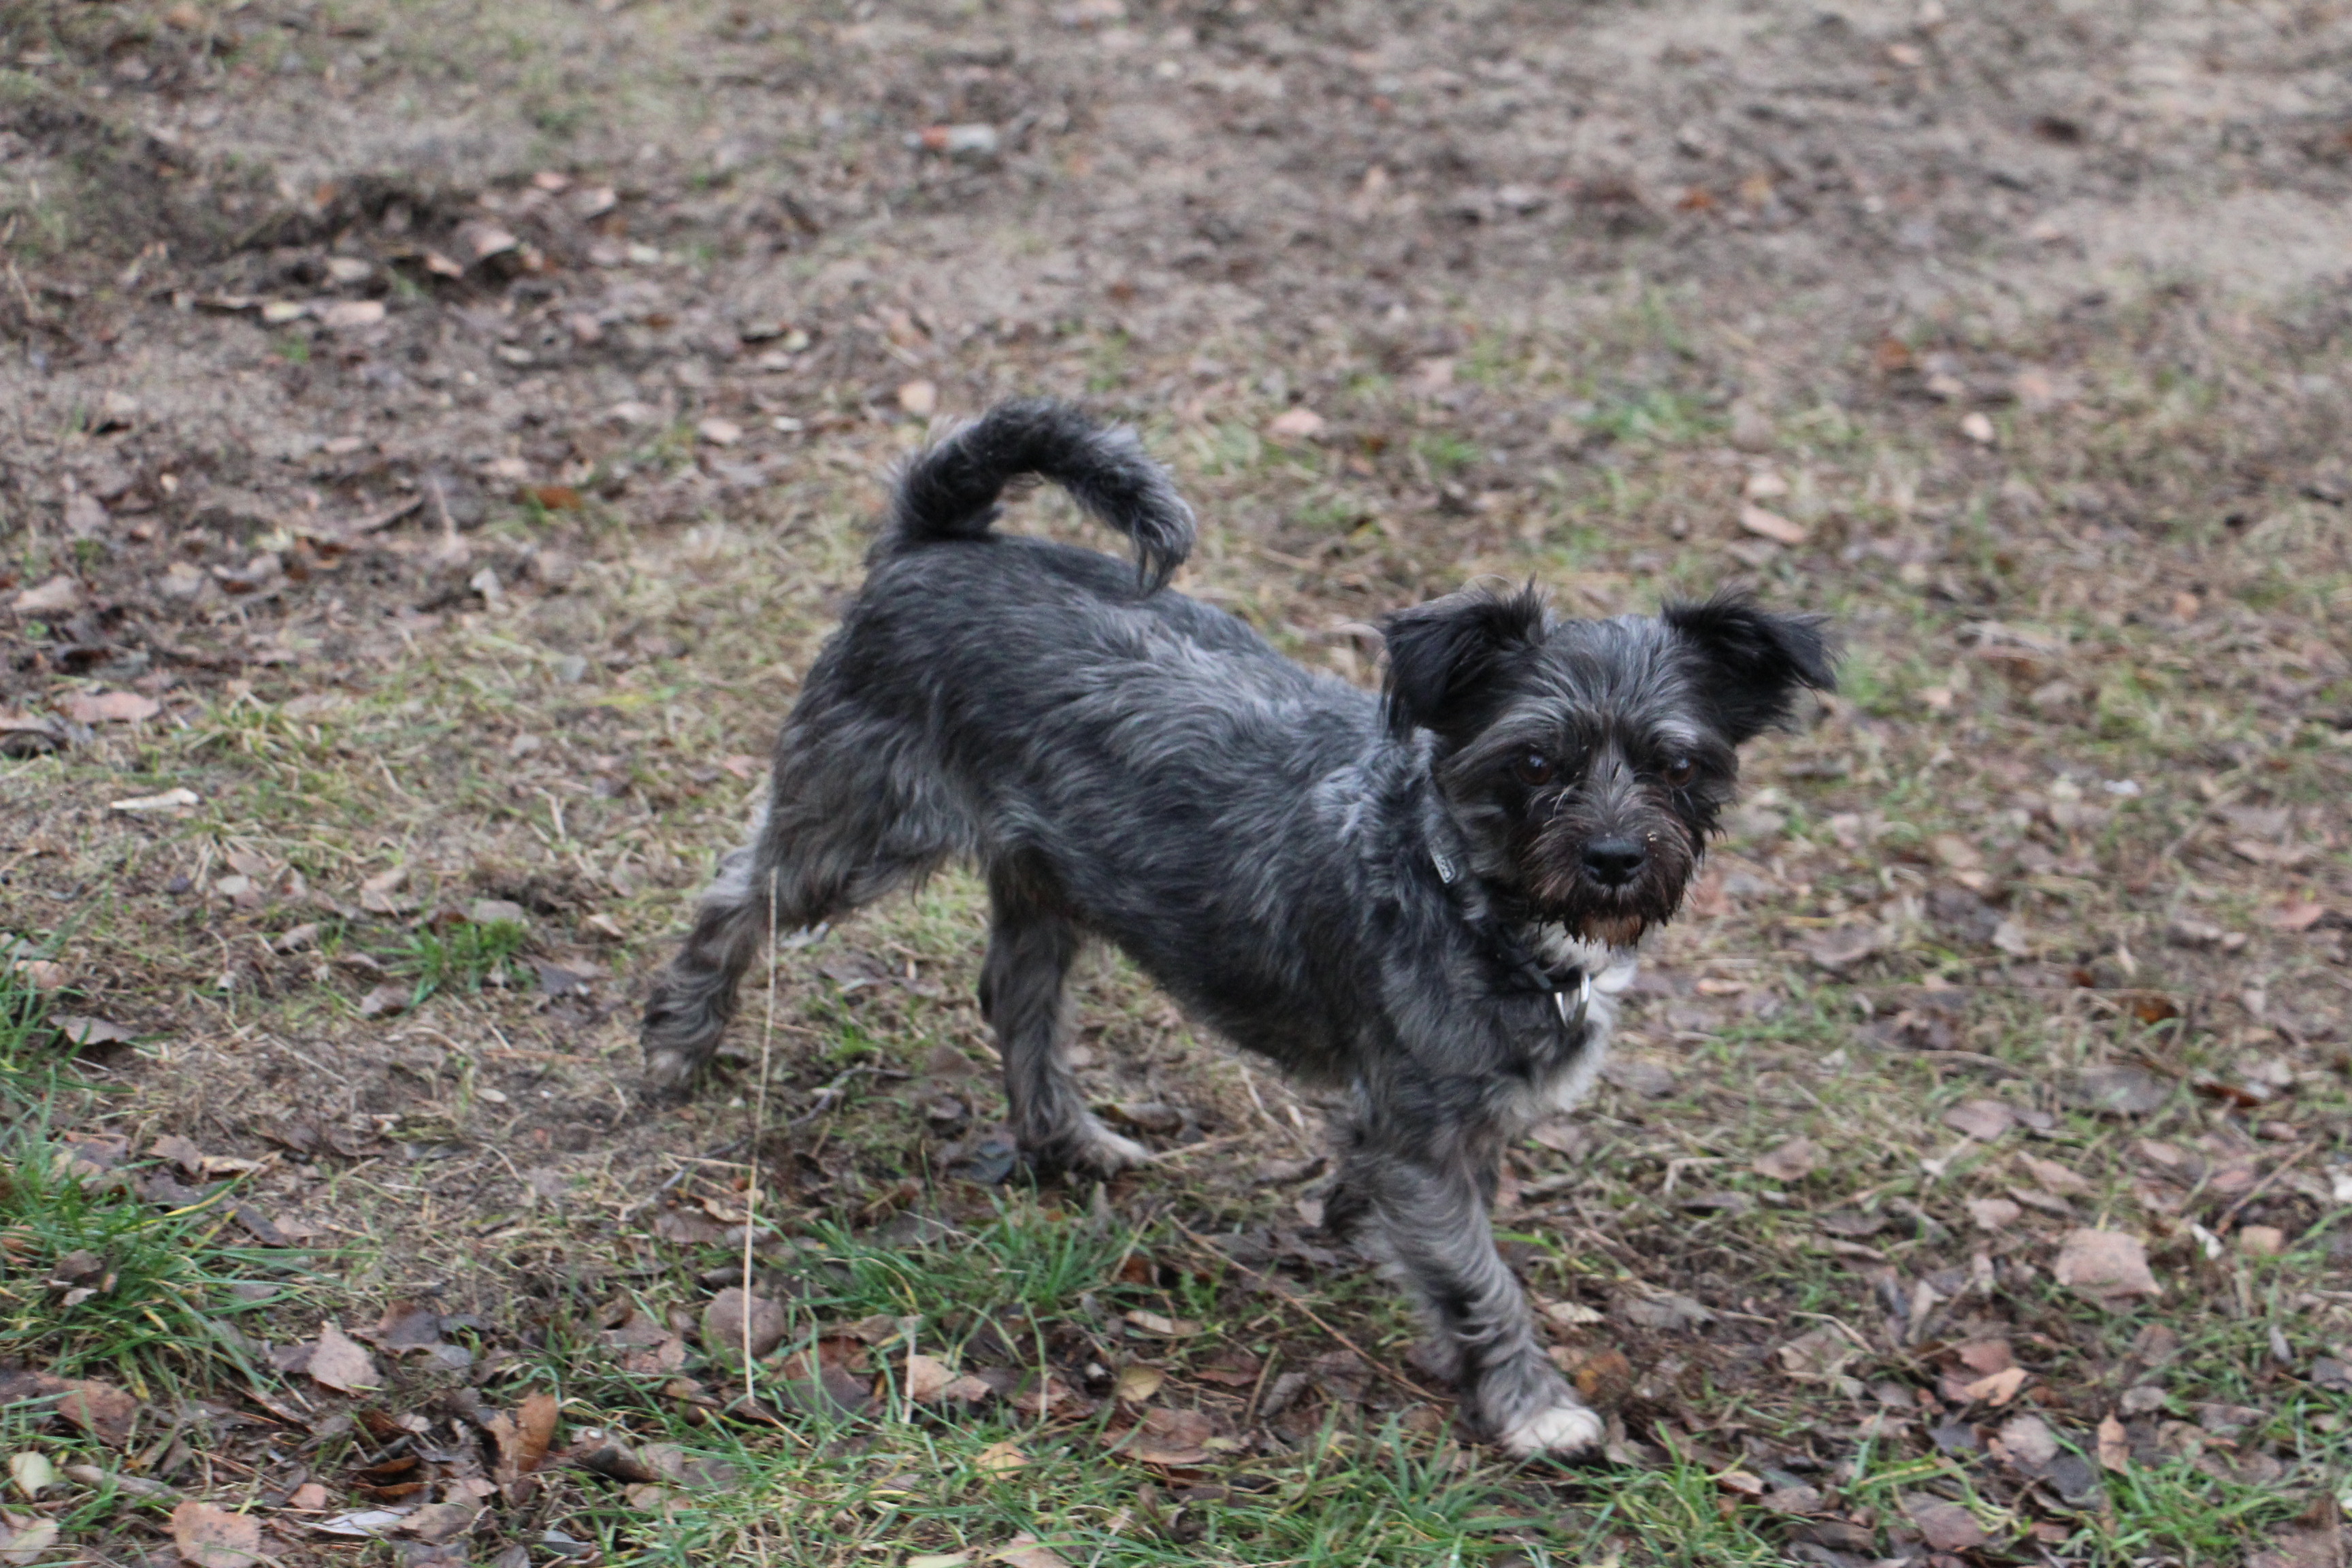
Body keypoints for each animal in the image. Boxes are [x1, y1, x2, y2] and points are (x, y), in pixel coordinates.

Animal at [641, 400, 1834, 1456]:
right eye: (1536, 761)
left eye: (1679, 766)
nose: (1617, 858)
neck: (1460, 887)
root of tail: (938, 539)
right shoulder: (1423, 1135)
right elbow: (1480, 1275)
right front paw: (1533, 1405)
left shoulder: (1457, 1123)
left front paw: (1355, 1231)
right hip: (857, 828)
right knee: (735, 899)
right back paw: (677, 1043)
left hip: (1045, 879)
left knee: (1016, 998)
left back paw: (1068, 1143)